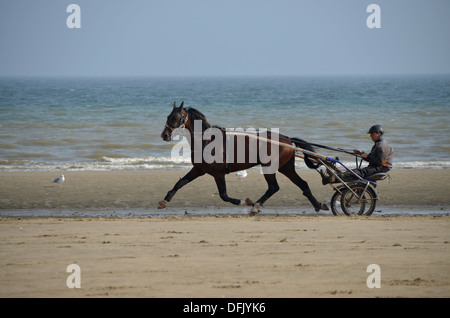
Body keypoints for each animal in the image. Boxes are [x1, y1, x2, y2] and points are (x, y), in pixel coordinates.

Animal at [160, 101, 328, 216]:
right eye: (168, 116)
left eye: (175, 117)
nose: (164, 135)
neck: (207, 141)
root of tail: (286, 139)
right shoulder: (199, 169)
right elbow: (180, 183)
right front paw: (164, 200)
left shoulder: (218, 173)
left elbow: (224, 195)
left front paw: (243, 201)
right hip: (285, 167)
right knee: (302, 184)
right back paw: (318, 205)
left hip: (270, 167)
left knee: (274, 187)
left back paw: (255, 206)